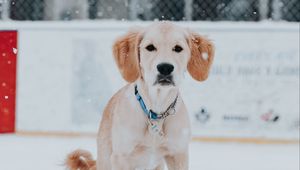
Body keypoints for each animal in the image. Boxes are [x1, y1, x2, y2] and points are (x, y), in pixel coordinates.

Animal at [67, 21, 214, 170]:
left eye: (178, 48)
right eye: (150, 47)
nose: (165, 68)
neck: (156, 111)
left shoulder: (178, 154)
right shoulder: (121, 157)